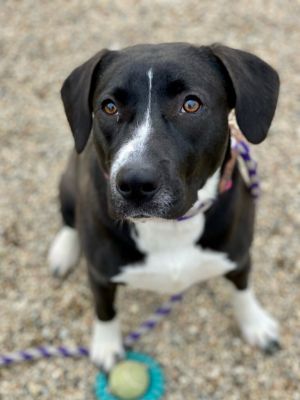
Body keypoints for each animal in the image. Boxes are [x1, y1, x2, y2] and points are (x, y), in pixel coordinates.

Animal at [48, 43, 280, 372]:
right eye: (109, 107)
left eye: (191, 104)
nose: (134, 183)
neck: (170, 227)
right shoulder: (100, 274)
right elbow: (105, 310)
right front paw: (107, 346)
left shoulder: (239, 254)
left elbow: (242, 288)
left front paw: (255, 324)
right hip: (68, 182)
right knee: (69, 220)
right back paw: (63, 252)